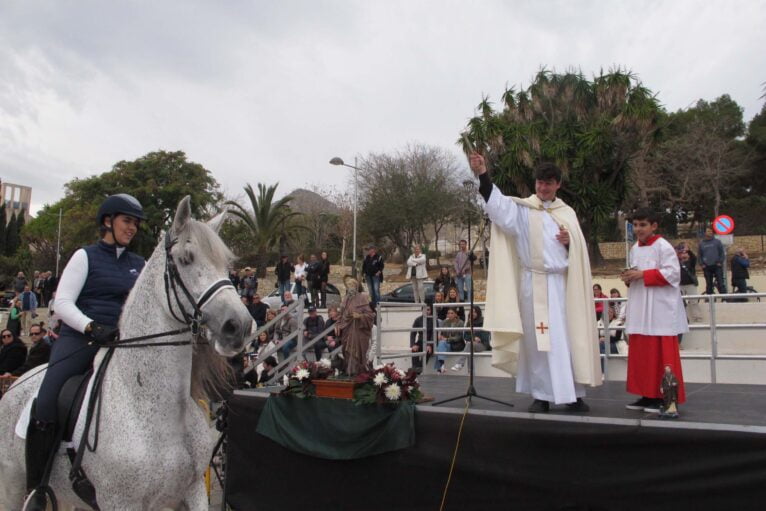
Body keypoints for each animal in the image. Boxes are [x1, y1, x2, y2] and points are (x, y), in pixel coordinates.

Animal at [0, 197, 254, 511]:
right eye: (186, 259)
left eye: (226, 264)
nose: (239, 326)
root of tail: (15, 385)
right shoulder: (120, 501)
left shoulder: (193, 491)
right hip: (11, 486)